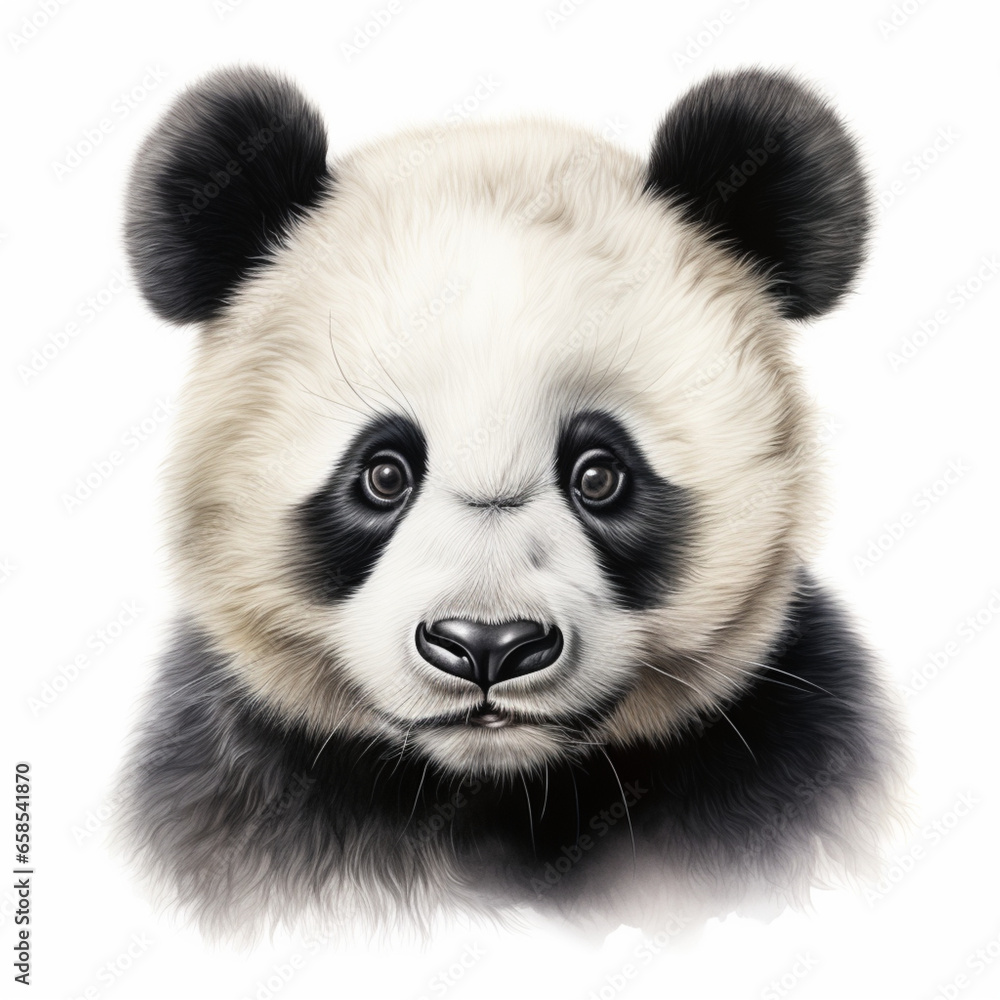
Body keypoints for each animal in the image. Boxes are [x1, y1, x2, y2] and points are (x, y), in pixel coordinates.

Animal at [115, 64, 907, 941]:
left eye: (600, 475)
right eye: (383, 474)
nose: (488, 645)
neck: (501, 792)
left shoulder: (783, 754)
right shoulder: (244, 786)